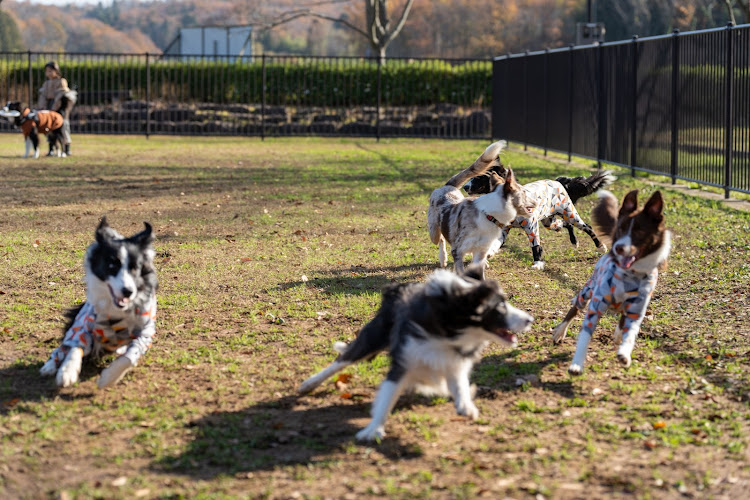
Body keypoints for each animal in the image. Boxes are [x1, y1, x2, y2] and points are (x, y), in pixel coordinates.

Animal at [40, 218, 158, 386]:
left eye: (135, 268)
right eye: (111, 265)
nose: (128, 291)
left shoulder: (144, 333)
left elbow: (127, 358)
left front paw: (107, 379)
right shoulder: (82, 326)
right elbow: (75, 348)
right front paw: (67, 372)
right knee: (61, 349)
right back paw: (49, 366)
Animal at [300, 268, 536, 444]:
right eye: (500, 306)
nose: (530, 319)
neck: (444, 334)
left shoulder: (454, 363)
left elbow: (459, 385)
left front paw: (466, 405)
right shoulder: (402, 362)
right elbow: (386, 398)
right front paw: (373, 430)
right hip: (372, 338)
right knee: (343, 359)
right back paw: (310, 383)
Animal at [552, 189, 676, 374]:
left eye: (640, 231)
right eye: (621, 228)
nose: (618, 247)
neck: (630, 275)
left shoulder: (636, 310)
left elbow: (630, 334)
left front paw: (624, 353)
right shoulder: (595, 306)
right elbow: (584, 336)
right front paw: (576, 364)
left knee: (622, 319)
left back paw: (618, 335)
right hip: (588, 290)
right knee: (575, 308)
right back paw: (560, 331)